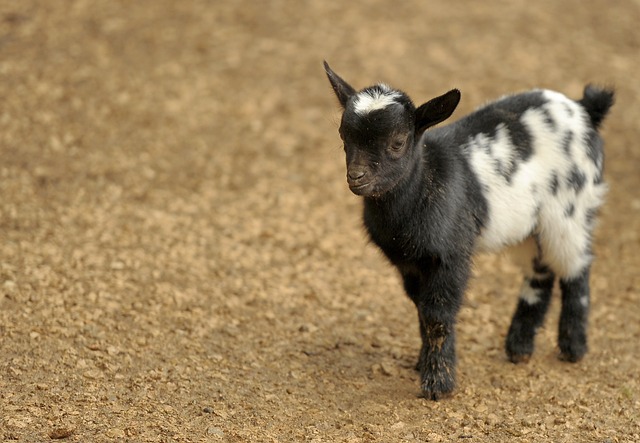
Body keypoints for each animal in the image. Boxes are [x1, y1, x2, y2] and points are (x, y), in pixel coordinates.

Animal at [324, 61, 614, 400]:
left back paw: (572, 347)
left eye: (398, 142)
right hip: (529, 226)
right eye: (343, 135)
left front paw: (438, 384)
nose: (356, 177)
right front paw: (423, 364)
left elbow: (438, 315)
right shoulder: (410, 264)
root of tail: (584, 109)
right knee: (541, 272)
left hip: (571, 210)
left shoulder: (451, 256)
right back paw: (519, 348)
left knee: (576, 269)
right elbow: (421, 310)